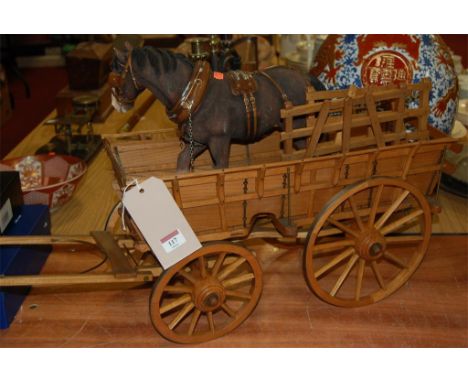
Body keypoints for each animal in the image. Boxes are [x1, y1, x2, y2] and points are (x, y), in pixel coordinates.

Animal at [109, 43, 324, 172]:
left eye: (116, 74)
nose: (116, 104)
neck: (196, 96)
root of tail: (304, 78)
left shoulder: (219, 142)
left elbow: (221, 169)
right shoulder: (198, 142)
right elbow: (182, 162)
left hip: (298, 129)